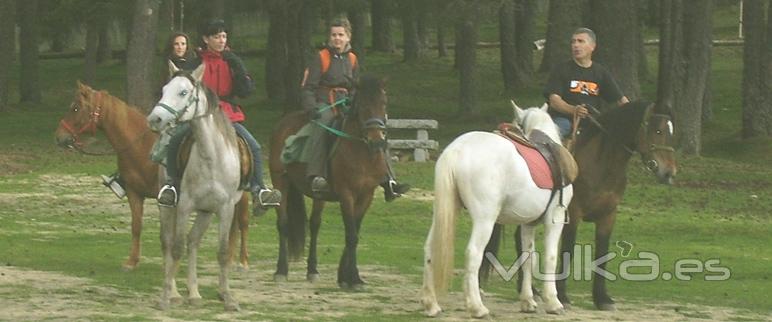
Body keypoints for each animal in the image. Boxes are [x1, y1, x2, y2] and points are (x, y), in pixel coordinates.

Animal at [55, 81, 253, 272]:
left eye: (75, 108)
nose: (59, 137)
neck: (141, 145)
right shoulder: (135, 193)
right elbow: (137, 226)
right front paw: (132, 261)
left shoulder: (168, 198)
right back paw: (230, 258)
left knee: (242, 222)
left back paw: (242, 262)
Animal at [149, 65, 247, 310]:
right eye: (163, 90)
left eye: (183, 92)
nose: (155, 119)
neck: (212, 158)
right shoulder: (184, 206)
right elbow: (176, 248)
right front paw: (166, 297)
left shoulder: (225, 209)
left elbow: (222, 252)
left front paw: (228, 297)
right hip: (168, 207)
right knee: (168, 242)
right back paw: (176, 293)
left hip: (206, 212)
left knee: (193, 242)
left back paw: (194, 293)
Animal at [268, 76, 390, 290]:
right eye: (363, 106)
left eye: (383, 103)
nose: (377, 142)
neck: (361, 152)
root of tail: (283, 122)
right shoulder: (346, 194)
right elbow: (351, 235)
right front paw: (352, 278)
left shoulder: (366, 195)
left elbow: (355, 231)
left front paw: (346, 276)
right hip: (279, 181)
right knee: (283, 223)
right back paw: (281, 271)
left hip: (319, 194)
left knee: (314, 225)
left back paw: (312, 270)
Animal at [422, 102, 572, 316]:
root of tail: (456, 151)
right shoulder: (555, 217)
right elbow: (550, 258)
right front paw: (553, 302)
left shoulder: (527, 224)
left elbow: (528, 259)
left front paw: (527, 301)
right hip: (485, 220)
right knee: (473, 253)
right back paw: (477, 307)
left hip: (443, 213)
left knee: (429, 249)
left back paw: (431, 304)